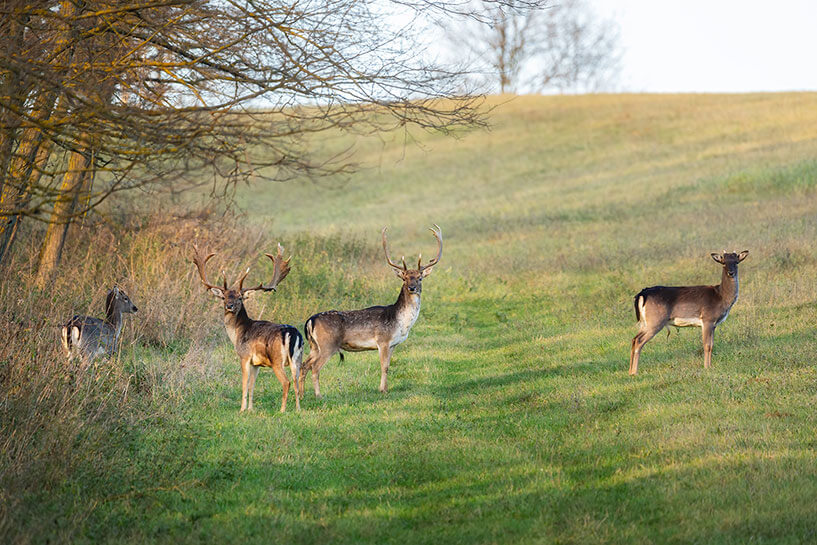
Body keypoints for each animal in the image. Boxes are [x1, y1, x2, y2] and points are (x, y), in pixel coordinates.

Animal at [193, 243, 303, 412]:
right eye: (224, 297)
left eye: (239, 298)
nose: (229, 306)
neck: (237, 334)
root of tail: (292, 333)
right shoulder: (256, 363)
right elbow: (252, 385)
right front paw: (251, 409)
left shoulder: (244, 356)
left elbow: (244, 385)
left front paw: (242, 409)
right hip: (297, 358)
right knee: (297, 380)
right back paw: (298, 409)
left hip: (277, 359)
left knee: (287, 382)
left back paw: (282, 410)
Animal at [302, 225, 442, 396]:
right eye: (404, 278)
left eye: (419, 277)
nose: (412, 287)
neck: (401, 323)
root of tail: (310, 321)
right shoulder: (383, 340)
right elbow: (384, 366)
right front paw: (382, 390)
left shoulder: (393, 344)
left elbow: (388, 366)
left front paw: (385, 388)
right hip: (327, 344)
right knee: (314, 368)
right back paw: (319, 395)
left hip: (314, 346)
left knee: (304, 365)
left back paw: (301, 394)